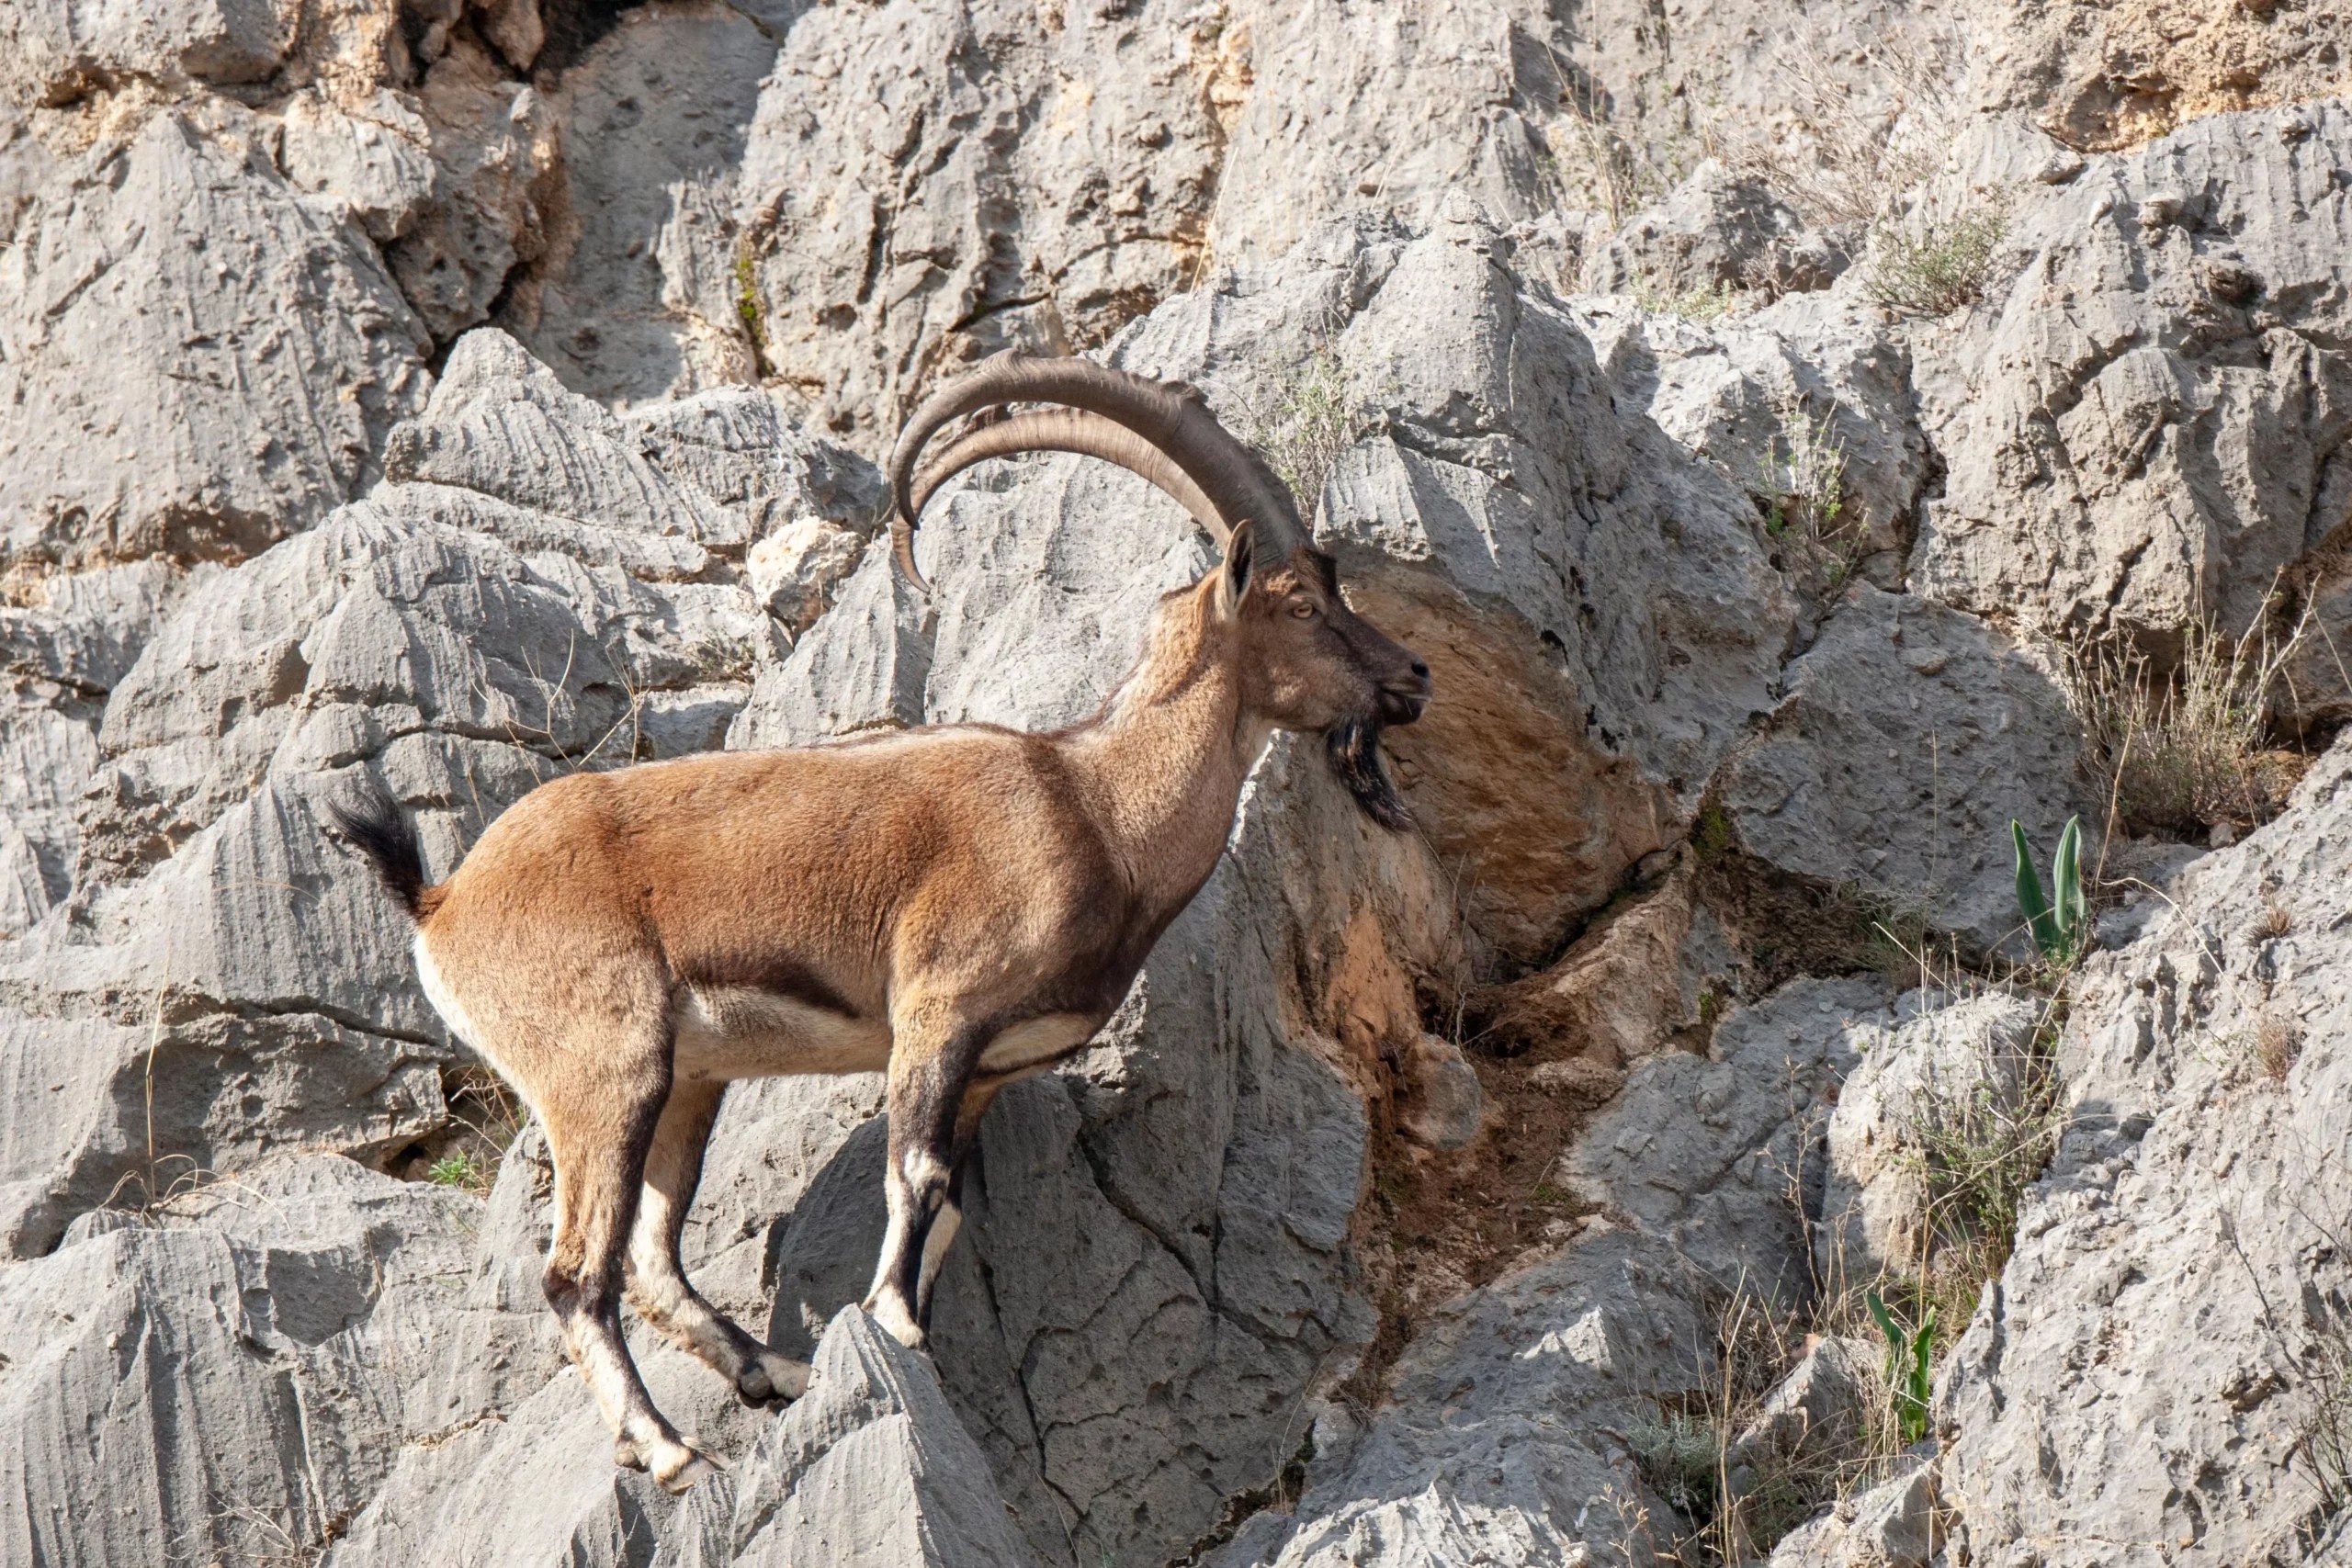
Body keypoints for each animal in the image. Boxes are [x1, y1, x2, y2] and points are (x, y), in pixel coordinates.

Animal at [331, 353, 1432, 1490]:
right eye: (1299, 602)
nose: (1412, 677)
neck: (1097, 809)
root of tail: (444, 902)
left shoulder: (988, 1069)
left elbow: (949, 1210)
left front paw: (910, 1337)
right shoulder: (938, 1013)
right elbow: (918, 1174)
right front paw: (894, 1323)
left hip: (686, 1082)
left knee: (649, 1255)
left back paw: (776, 1373)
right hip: (602, 1069)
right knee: (574, 1273)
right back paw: (668, 1446)